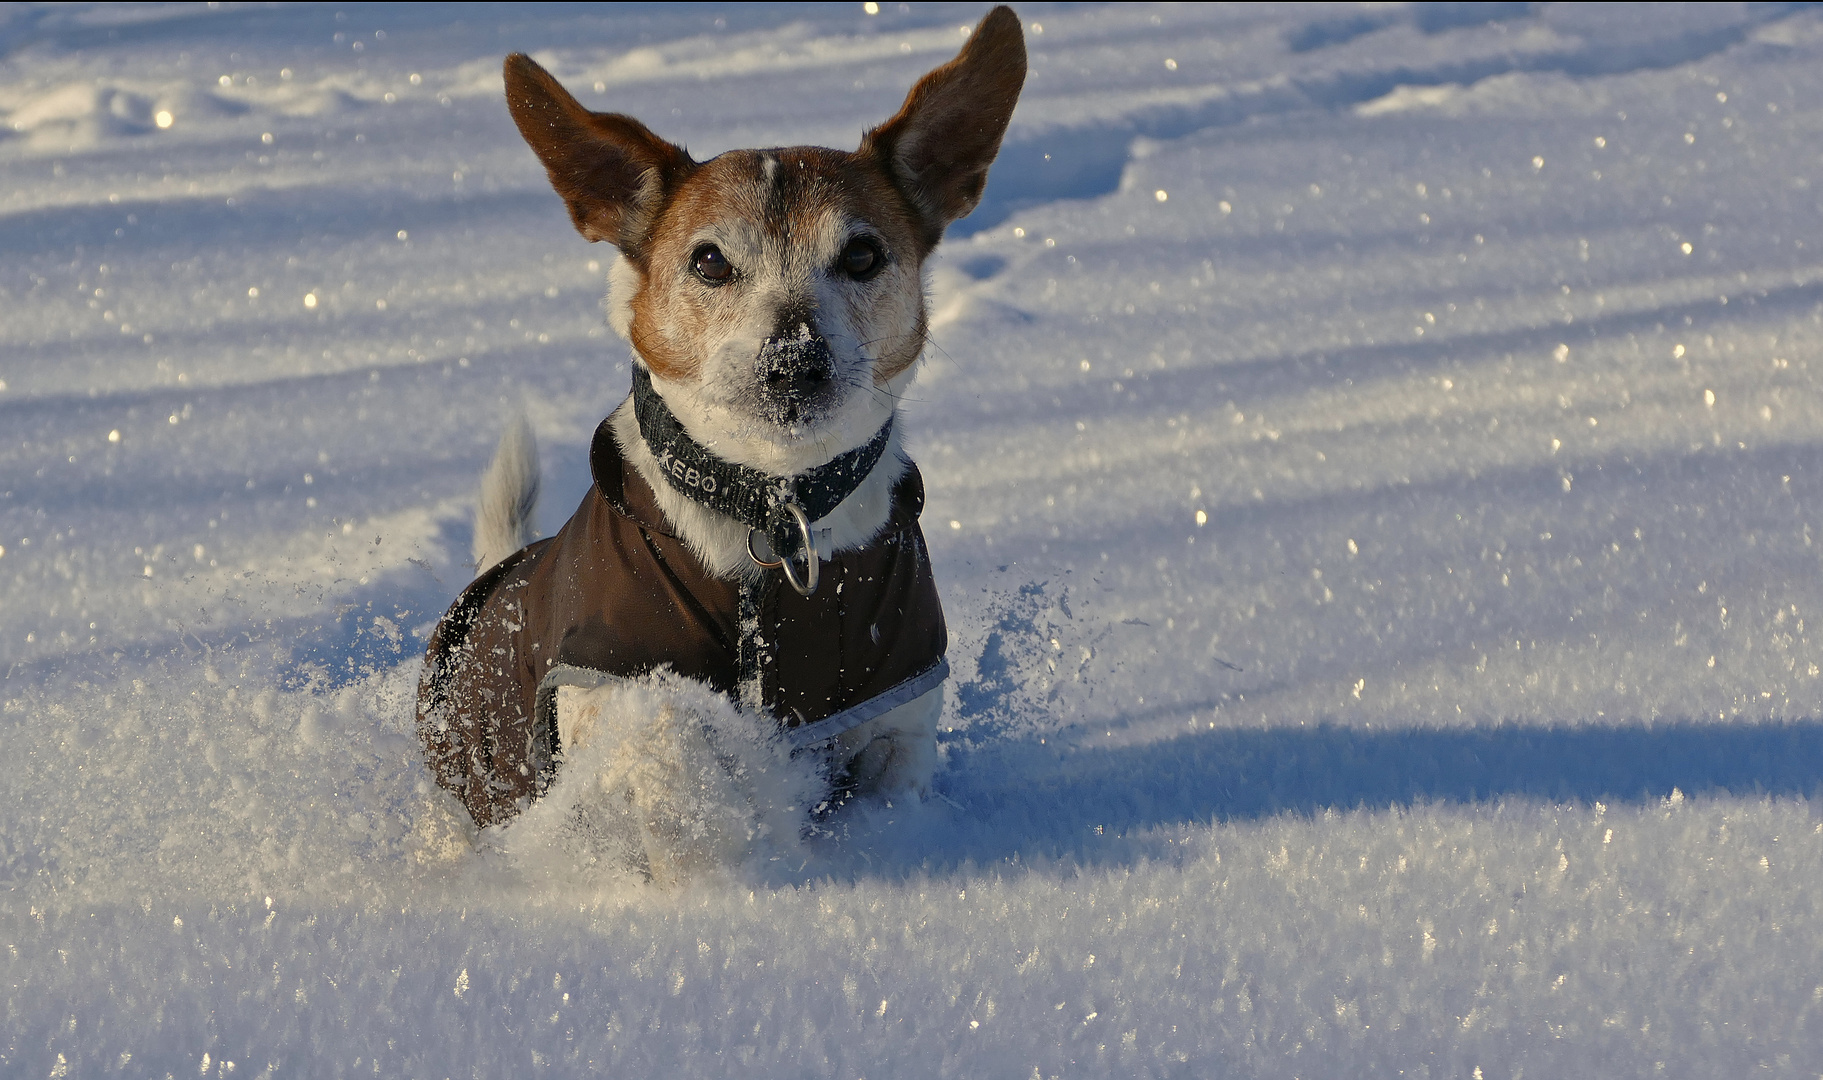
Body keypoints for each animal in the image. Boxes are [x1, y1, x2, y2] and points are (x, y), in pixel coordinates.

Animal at [417, 4, 1035, 857]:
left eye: (863, 254)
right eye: (709, 262)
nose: (793, 361)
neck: (774, 508)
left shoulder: (895, 713)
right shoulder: (617, 692)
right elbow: (672, 752)